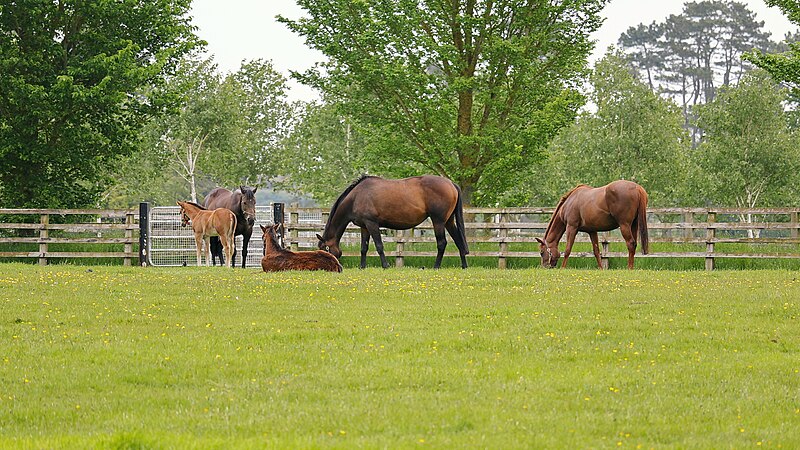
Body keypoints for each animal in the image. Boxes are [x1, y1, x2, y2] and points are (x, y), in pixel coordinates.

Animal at [318, 174, 468, 268]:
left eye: (325, 249)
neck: (356, 197)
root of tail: (451, 183)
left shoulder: (372, 224)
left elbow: (379, 246)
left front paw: (385, 266)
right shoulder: (364, 227)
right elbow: (363, 248)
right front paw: (362, 267)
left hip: (438, 222)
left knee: (442, 243)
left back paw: (436, 266)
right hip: (448, 221)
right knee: (458, 241)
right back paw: (464, 265)